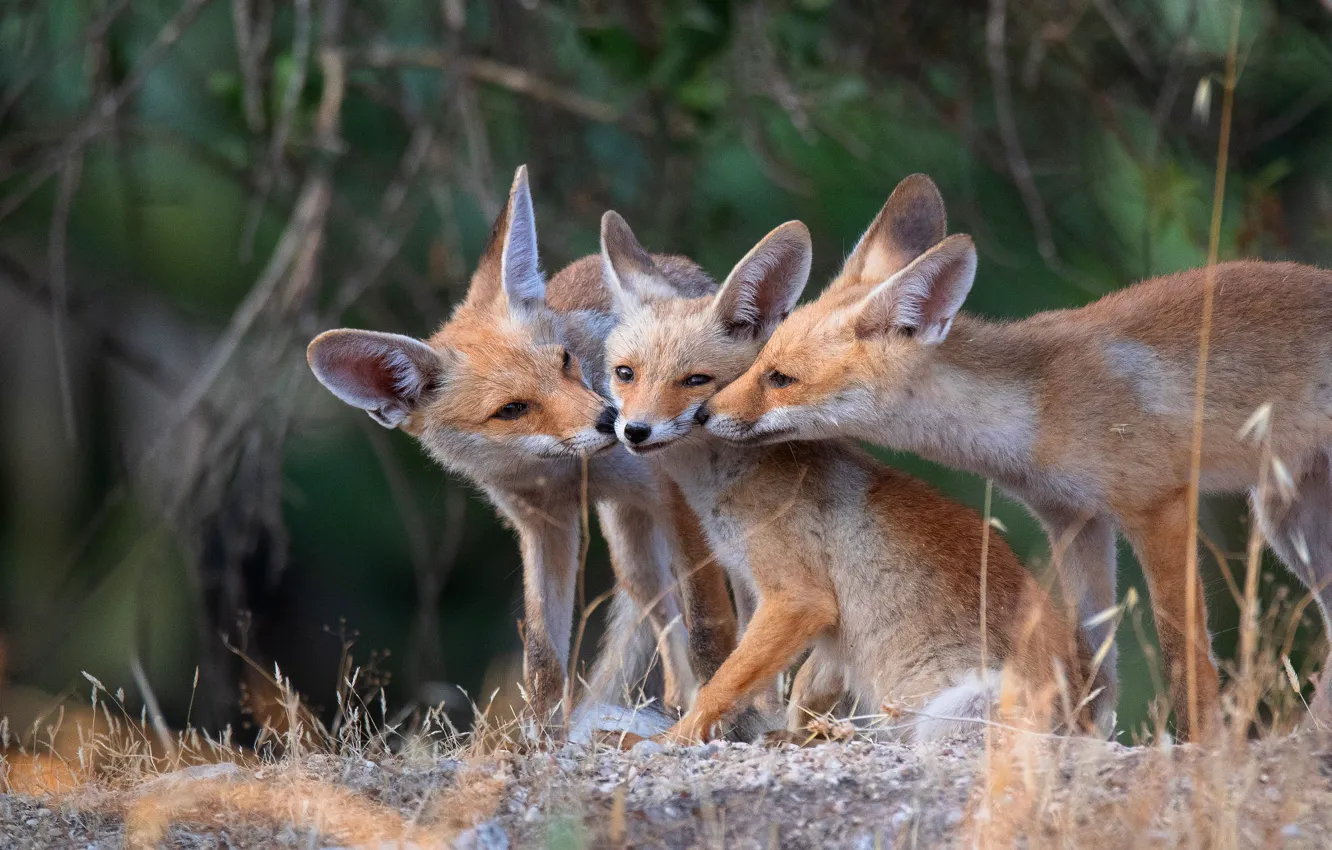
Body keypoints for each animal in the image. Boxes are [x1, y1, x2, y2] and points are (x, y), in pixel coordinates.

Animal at [305, 167, 739, 732]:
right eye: (512, 409)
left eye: (566, 361)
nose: (614, 421)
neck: (568, 474)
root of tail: (675, 263)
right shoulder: (543, 528)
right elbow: (542, 657)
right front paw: (540, 737)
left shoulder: (676, 497)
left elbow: (711, 624)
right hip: (633, 558)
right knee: (661, 620)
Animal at [596, 210, 1101, 744]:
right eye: (625, 373)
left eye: (695, 380)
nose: (635, 430)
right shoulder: (795, 612)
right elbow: (797, 691)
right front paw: (782, 730)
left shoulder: (799, 599)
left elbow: (721, 686)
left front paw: (667, 741)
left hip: (949, 716)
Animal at [704, 172, 1332, 741]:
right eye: (759, 363)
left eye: (780, 378)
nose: (706, 413)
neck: (1041, 407)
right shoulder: (1072, 518)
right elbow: (1091, 658)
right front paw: (1078, 737)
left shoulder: (1159, 505)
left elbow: (1184, 653)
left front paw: (1200, 747)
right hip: (1292, 528)